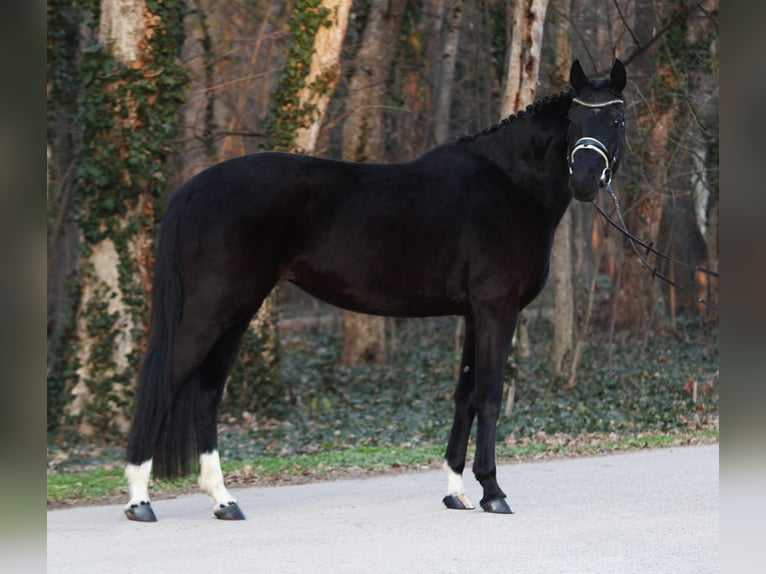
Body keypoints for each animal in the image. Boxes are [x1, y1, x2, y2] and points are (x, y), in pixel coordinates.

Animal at [124, 58, 632, 520]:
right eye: (572, 121)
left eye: (615, 119)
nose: (585, 180)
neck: (509, 184)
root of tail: (193, 188)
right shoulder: (497, 310)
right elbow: (488, 396)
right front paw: (493, 492)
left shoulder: (473, 315)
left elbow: (464, 397)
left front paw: (456, 492)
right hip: (210, 311)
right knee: (164, 382)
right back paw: (139, 500)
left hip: (237, 312)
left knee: (207, 393)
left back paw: (223, 500)